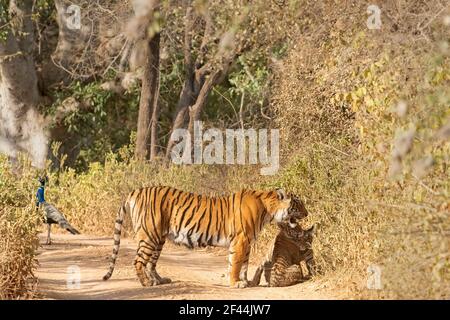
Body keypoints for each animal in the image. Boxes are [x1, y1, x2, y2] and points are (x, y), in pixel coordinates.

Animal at [102, 185, 308, 288]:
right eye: (298, 204)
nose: (307, 214)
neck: (268, 210)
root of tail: (135, 191)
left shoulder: (247, 242)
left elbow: (243, 264)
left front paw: (246, 282)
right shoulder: (241, 240)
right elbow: (235, 263)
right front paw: (236, 283)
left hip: (158, 238)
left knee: (151, 263)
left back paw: (159, 281)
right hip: (149, 235)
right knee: (138, 261)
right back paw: (146, 283)